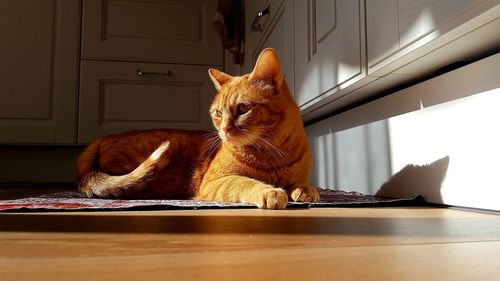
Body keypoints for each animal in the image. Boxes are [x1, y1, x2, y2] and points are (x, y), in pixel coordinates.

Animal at [78, 48, 320, 209]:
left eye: (243, 108)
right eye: (218, 113)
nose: (224, 130)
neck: (274, 152)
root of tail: (102, 138)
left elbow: (302, 183)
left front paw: (306, 190)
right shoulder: (215, 181)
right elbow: (243, 183)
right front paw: (269, 191)